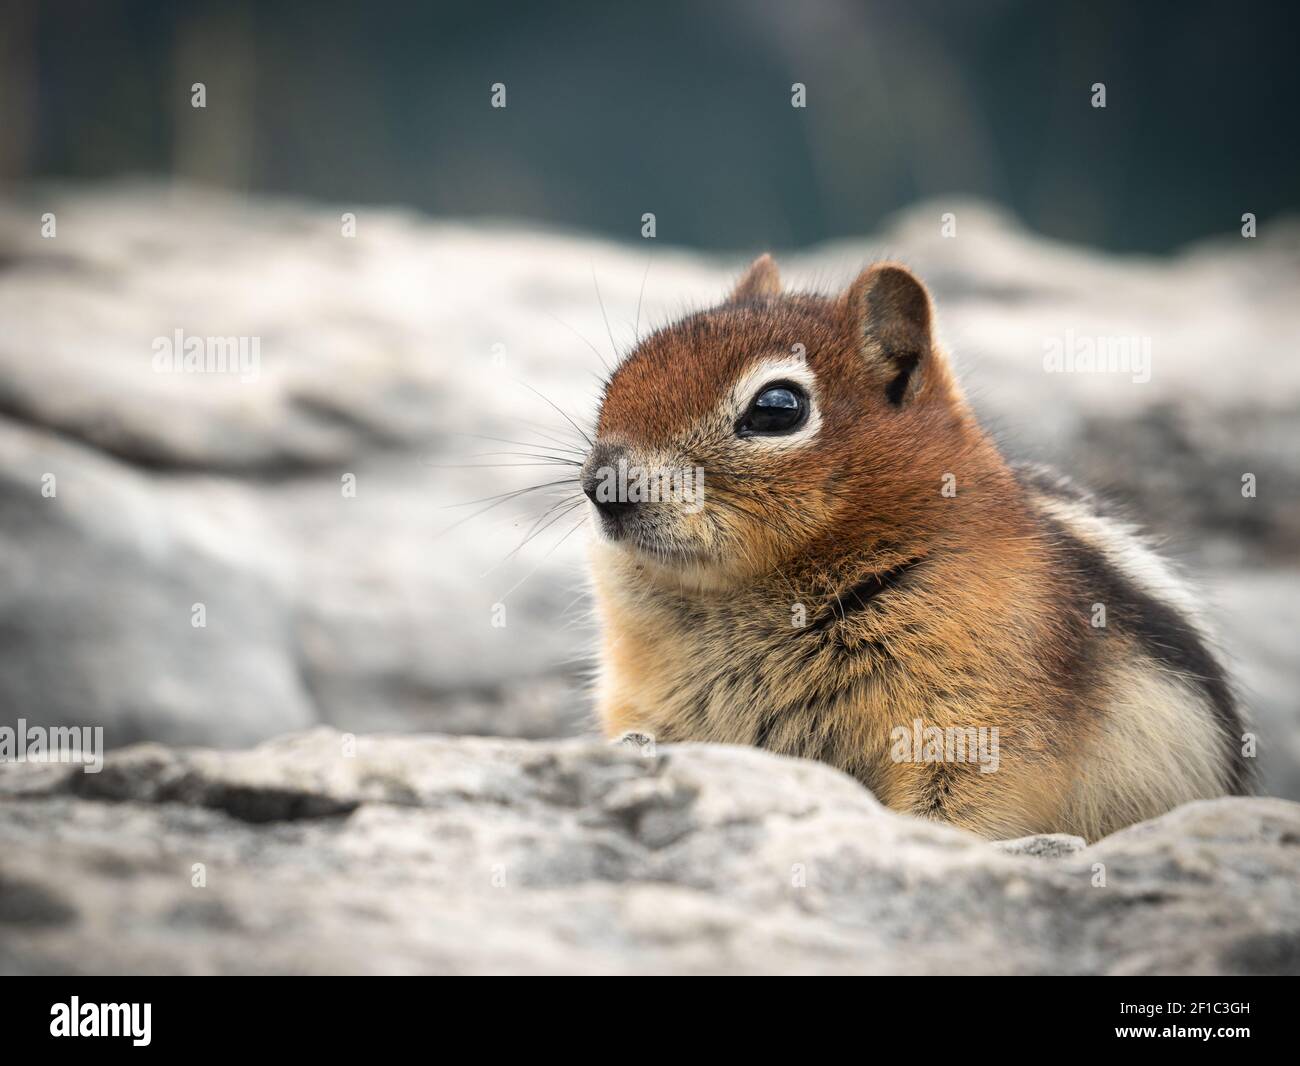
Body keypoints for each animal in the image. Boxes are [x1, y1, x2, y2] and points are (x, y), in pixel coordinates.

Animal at [579, 256, 1248, 842]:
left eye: (776, 409)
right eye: (618, 376)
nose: (601, 486)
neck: (739, 592)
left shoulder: (980, 715)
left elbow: (967, 799)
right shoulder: (642, 696)